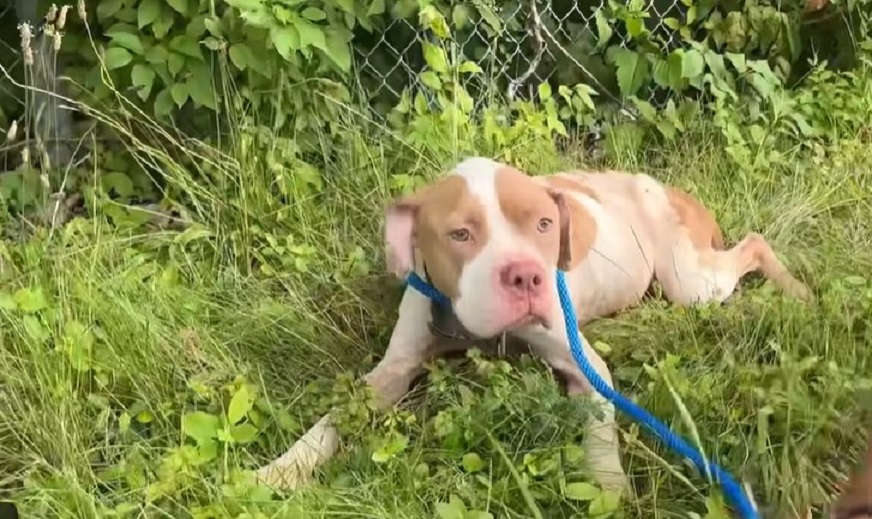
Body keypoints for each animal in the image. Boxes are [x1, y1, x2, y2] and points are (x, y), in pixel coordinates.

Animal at [258, 157, 812, 496]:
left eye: (545, 225)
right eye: (460, 234)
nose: (527, 274)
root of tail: (669, 187)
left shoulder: (586, 366)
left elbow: (599, 430)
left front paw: (608, 489)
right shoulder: (390, 372)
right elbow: (333, 417)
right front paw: (279, 469)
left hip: (692, 283)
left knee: (754, 242)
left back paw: (798, 293)